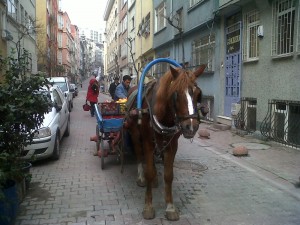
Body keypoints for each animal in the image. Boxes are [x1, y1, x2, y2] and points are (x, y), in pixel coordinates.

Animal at [124, 64, 206, 221]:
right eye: (176, 93)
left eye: (198, 93)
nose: (191, 126)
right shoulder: (148, 142)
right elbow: (149, 171)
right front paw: (148, 207)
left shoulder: (172, 145)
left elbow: (169, 175)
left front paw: (170, 207)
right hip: (135, 134)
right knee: (139, 154)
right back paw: (141, 177)